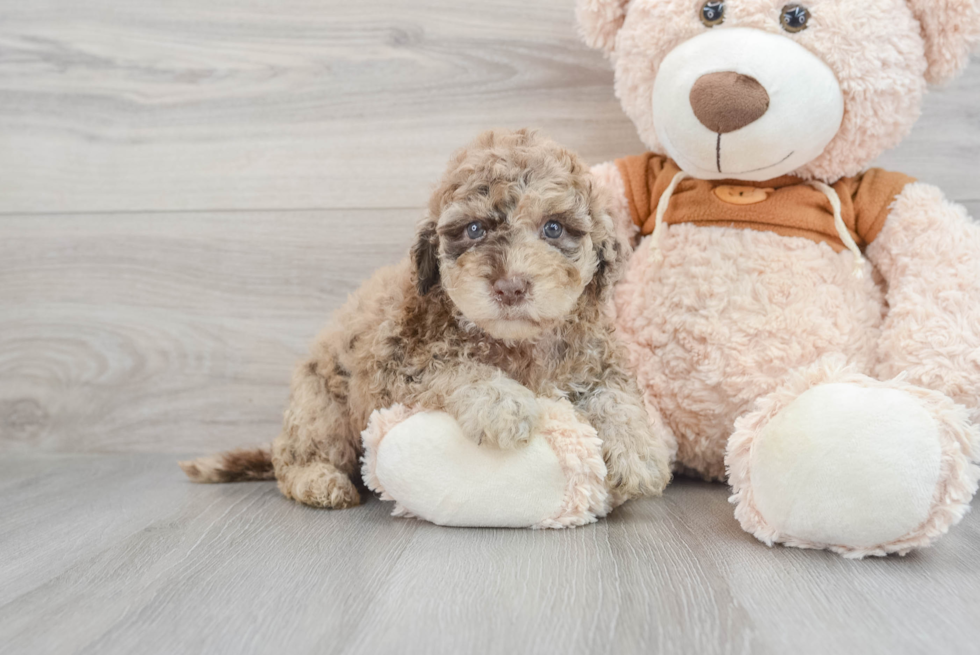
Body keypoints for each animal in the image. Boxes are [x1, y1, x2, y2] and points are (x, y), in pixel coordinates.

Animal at [182, 128, 672, 508]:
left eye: (553, 228)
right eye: (474, 229)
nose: (510, 286)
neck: (515, 343)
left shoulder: (596, 356)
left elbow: (616, 395)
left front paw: (639, 453)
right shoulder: (393, 362)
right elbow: (456, 367)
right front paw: (503, 403)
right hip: (320, 405)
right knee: (297, 455)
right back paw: (319, 481)